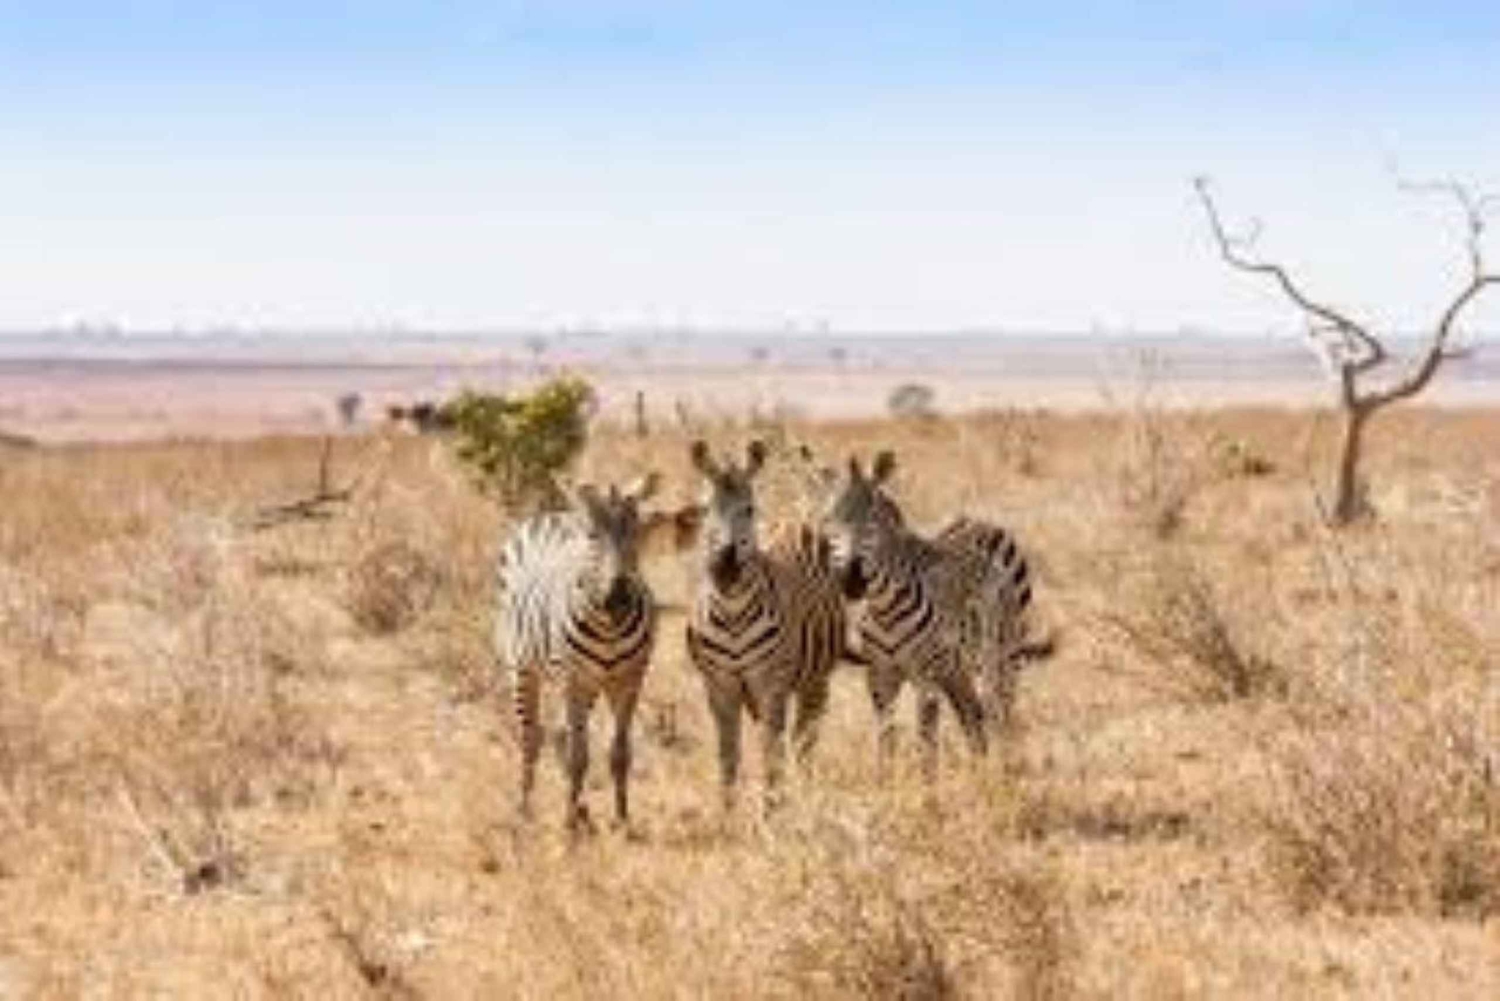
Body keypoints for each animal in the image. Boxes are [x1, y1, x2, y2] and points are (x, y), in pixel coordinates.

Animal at [495, 473, 665, 830]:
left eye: (636, 532)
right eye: (593, 536)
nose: (618, 598)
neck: (610, 627)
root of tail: (554, 514)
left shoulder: (629, 681)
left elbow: (619, 754)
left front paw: (622, 820)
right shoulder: (573, 679)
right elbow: (578, 756)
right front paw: (569, 825)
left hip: (588, 684)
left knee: (562, 734)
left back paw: (581, 807)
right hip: (524, 667)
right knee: (532, 737)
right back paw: (525, 811)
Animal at [684, 439, 846, 809]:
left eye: (749, 509)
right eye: (706, 509)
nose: (725, 567)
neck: (731, 614)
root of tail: (793, 522)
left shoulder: (770, 682)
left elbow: (770, 755)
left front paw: (771, 810)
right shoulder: (718, 685)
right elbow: (728, 754)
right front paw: (727, 812)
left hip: (816, 677)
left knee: (804, 738)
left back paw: (805, 794)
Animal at [820, 450, 1038, 779]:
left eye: (872, 521)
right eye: (831, 520)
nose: (852, 580)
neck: (885, 609)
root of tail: (983, 523)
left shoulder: (927, 676)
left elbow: (926, 741)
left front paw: (927, 787)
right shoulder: (880, 676)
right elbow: (886, 739)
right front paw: (886, 782)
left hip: (1001, 657)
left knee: (1001, 715)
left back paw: (1002, 774)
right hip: (958, 671)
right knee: (973, 717)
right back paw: (980, 769)